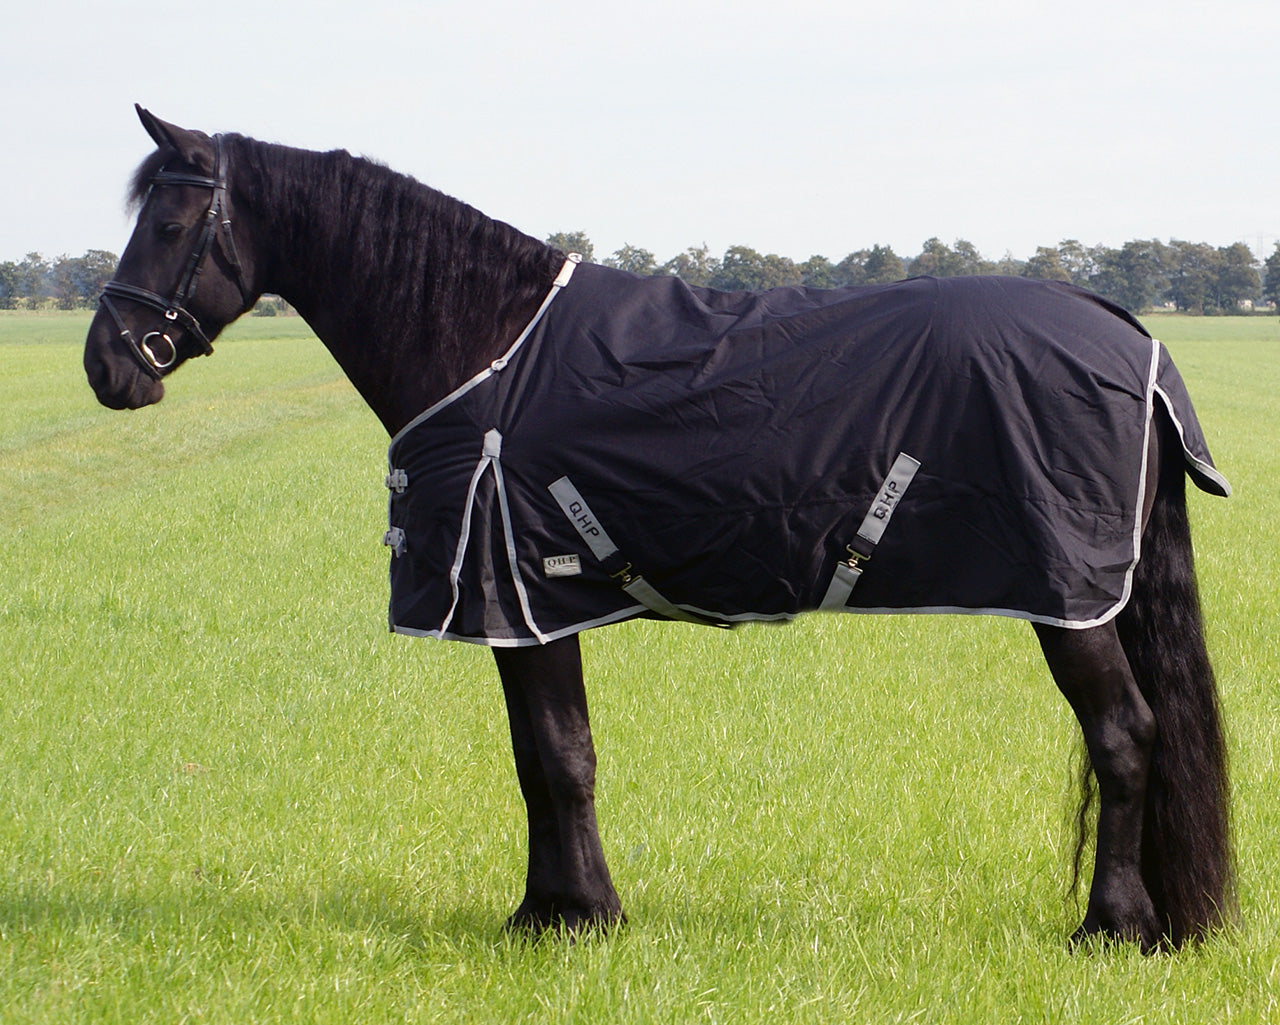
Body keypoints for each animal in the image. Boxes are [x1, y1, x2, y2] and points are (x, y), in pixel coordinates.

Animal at [84, 106, 1234, 950]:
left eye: (172, 225)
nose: (107, 365)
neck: (485, 345)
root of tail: (1124, 329)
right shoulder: (530, 610)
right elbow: (541, 755)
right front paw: (548, 907)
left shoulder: (520, 597)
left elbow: (557, 756)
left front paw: (576, 918)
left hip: (1070, 598)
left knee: (1124, 733)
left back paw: (1112, 926)